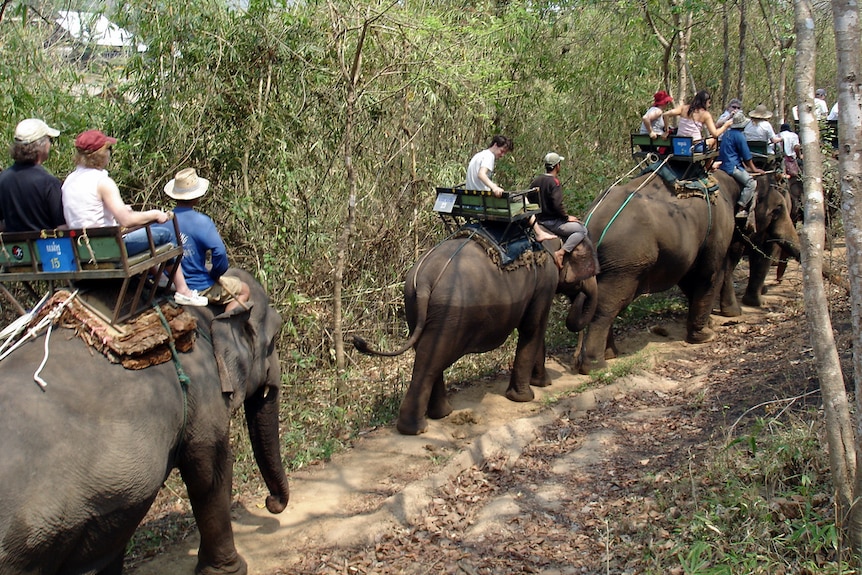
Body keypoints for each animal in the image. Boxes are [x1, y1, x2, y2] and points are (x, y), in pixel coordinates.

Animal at [354, 231, 596, 436]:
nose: (582, 294)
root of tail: (423, 280)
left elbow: (535, 328)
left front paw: (543, 384)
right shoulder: (545, 282)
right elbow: (533, 327)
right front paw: (526, 397)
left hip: (414, 305)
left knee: (428, 355)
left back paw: (440, 414)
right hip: (451, 312)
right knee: (432, 359)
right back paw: (418, 428)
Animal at [572, 169, 800, 376]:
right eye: (778, 209)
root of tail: (592, 223)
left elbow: (690, 276)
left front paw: (714, 321)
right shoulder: (719, 225)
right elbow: (711, 273)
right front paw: (706, 335)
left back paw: (610, 354)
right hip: (625, 262)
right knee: (606, 307)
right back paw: (597, 367)